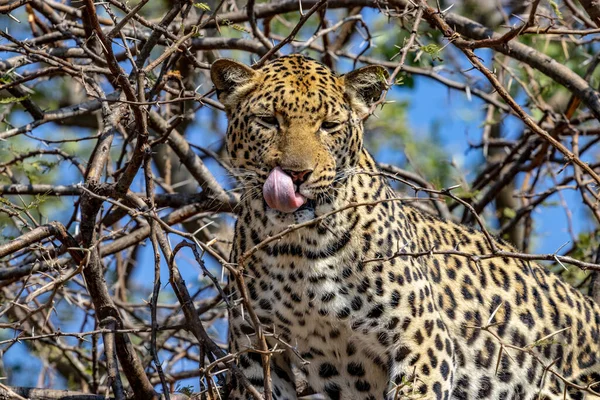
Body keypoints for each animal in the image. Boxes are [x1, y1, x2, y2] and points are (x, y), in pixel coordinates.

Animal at [210, 55, 600, 400]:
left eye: (329, 126)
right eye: (268, 121)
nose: (296, 174)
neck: (297, 250)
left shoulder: (421, 336)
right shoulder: (255, 351)